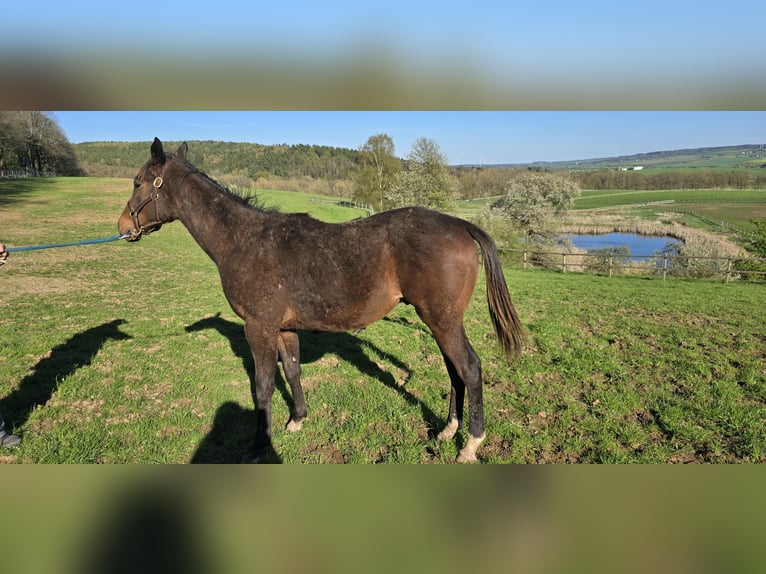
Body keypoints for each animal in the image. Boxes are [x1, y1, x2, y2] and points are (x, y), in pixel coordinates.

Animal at [118, 138, 524, 462]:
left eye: (138, 183)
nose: (122, 227)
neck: (244, 241)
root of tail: (460, 224)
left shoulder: (259, 328)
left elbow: (263, 386)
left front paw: (259, 445)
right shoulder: (283, 328)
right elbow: (293, 370)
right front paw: (297, 419)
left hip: (442, 320)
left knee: (469, 367)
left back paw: (470, 444)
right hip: (442, 321)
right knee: (455, 370)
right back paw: (446, 431)